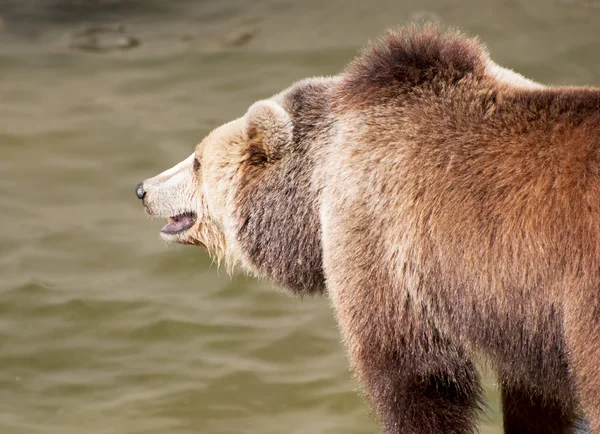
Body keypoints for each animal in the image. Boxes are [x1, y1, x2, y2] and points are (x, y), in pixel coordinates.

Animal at [136, 26, 600, 434]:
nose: (143, 189)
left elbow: (411, 373)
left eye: (197, 160)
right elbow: (537, 396)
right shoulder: (521, 314)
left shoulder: (381, 236)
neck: (314, 193)